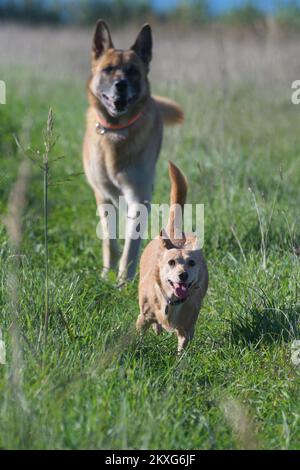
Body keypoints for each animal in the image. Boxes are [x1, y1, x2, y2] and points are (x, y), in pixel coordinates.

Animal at [83, 20, 184, 280]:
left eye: (133, 71)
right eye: (108, 69)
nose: (121, 84)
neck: (116, 133)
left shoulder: (138, 197)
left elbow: (130, 245)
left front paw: (123, 281)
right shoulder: (103, 196)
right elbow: (110, 241)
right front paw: (106, 274)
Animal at [137, 162, 209, 352]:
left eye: (192, 263)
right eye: (171, 262)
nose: (182, 274)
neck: (172, 301)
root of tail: (174, 231)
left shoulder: (187, 328)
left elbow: (182, 347)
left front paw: (180, 359)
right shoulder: (142, 319)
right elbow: (139, 335)